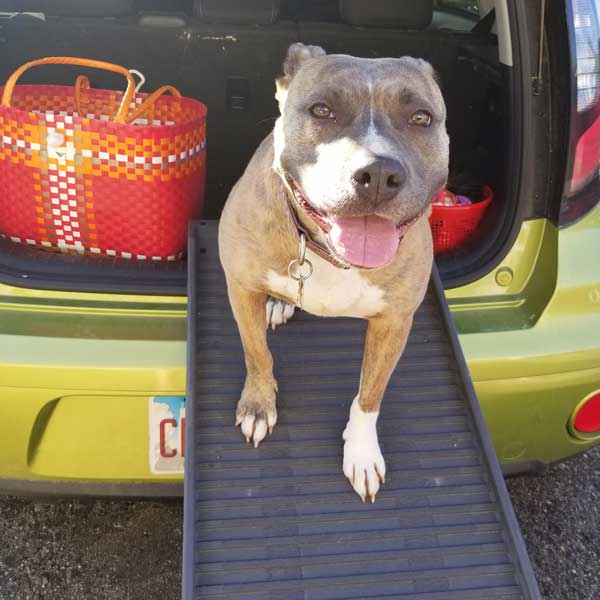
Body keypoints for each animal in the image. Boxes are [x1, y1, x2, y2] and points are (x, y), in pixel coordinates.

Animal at [218, 43, 448, 502]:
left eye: (421, 118)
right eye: (322, 110)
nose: (378, 173)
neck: (328, 252)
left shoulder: (394, 323)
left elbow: (370, 394)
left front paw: (361, 453)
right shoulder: (241, 288)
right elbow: (257, 354)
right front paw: (258, 405)